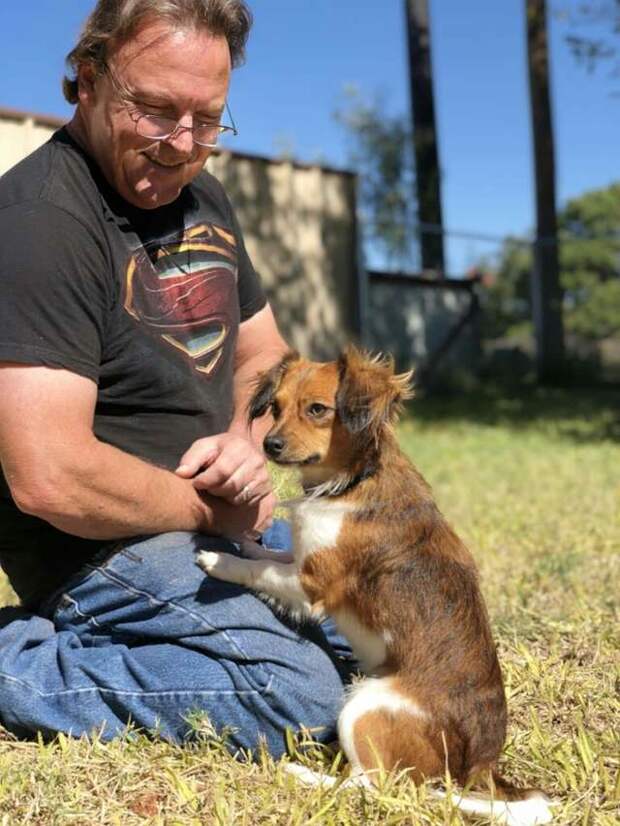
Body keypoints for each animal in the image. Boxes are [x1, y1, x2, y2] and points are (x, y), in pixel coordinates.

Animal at [197, 348, 552, 824]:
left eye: (317, 410)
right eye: (275, 408)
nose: (268, 445)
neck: (350, 482)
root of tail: (480, 766)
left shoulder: (314, 583)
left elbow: (259, 571)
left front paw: (219, 560)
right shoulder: (302, 559)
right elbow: (270, 556)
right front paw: (246, 544)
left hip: (364, 706)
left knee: (372, 785)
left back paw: (300, 773)